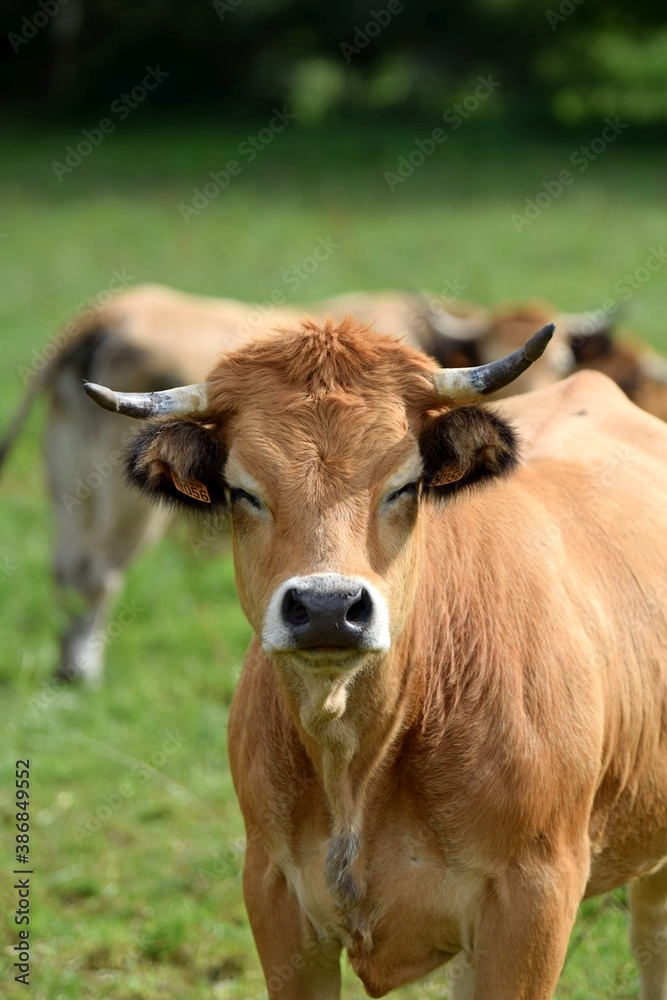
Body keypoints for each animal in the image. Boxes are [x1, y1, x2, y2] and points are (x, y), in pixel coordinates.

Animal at [83, 320, 667, 1000]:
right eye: (244, 491)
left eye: (405, 485)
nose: (327, 605)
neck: (355, 764)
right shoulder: (275, 896)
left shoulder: (533, 903)